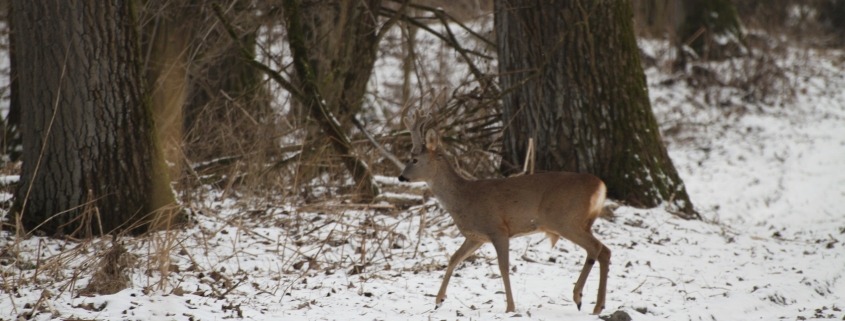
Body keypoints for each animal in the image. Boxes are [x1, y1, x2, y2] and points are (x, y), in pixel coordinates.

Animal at [398, 108, 608, 312]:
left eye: (414, 159)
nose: (401, 177)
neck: (463, 198)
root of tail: (600, 185)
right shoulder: (476, 236)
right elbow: (454, 258)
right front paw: (439, 300)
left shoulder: (497, 229)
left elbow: (503, 267)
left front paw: (510, 308)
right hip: (580, 222)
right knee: (605, 251)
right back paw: (598, 306)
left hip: (565, 219)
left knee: (595, 247)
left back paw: (578, 296)